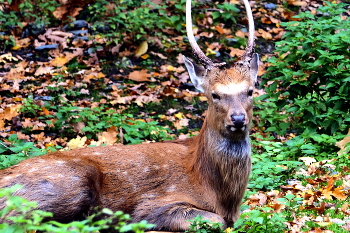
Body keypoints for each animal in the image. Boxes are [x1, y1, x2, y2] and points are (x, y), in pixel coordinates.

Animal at [0, 0, 258, 230]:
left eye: (250, 90)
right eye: (214, 94)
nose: (237, 119)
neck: (218, 194)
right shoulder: (152, 204)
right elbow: (215, 221)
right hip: (67, 183)